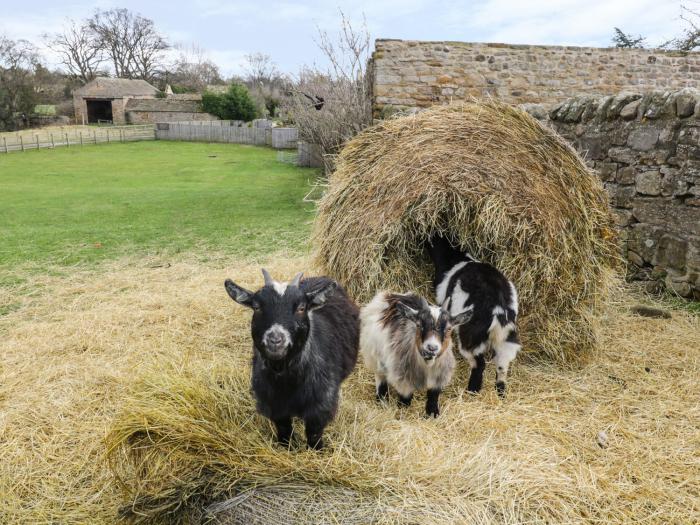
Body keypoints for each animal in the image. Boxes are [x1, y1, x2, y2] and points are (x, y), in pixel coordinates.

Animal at [226, 268, 358, 448]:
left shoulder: (320, 405)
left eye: (301, 308)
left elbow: (314, 433)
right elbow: (284, 429)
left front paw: (317, 450)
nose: (275, 340)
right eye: (256, 307)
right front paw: (285, 447)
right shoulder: (274, 404)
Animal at [360, 290, 470, 418]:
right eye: (419, 325)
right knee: (380, 377)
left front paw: (433, 415)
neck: (427, 366)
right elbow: (405, 401)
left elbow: (433, 399)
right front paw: (402, 412)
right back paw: (382, 401)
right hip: (375, 355)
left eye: (448, 329)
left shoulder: (438, 378)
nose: (432, 348)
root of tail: (390, 294)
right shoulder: (404, 381)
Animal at [426, 235, 520, 396]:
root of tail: (498, 308)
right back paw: (500, 392)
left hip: (470, 336)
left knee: (479, 363)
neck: (456, 258)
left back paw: (472, 390)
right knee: (503, 363)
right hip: (506, 335)